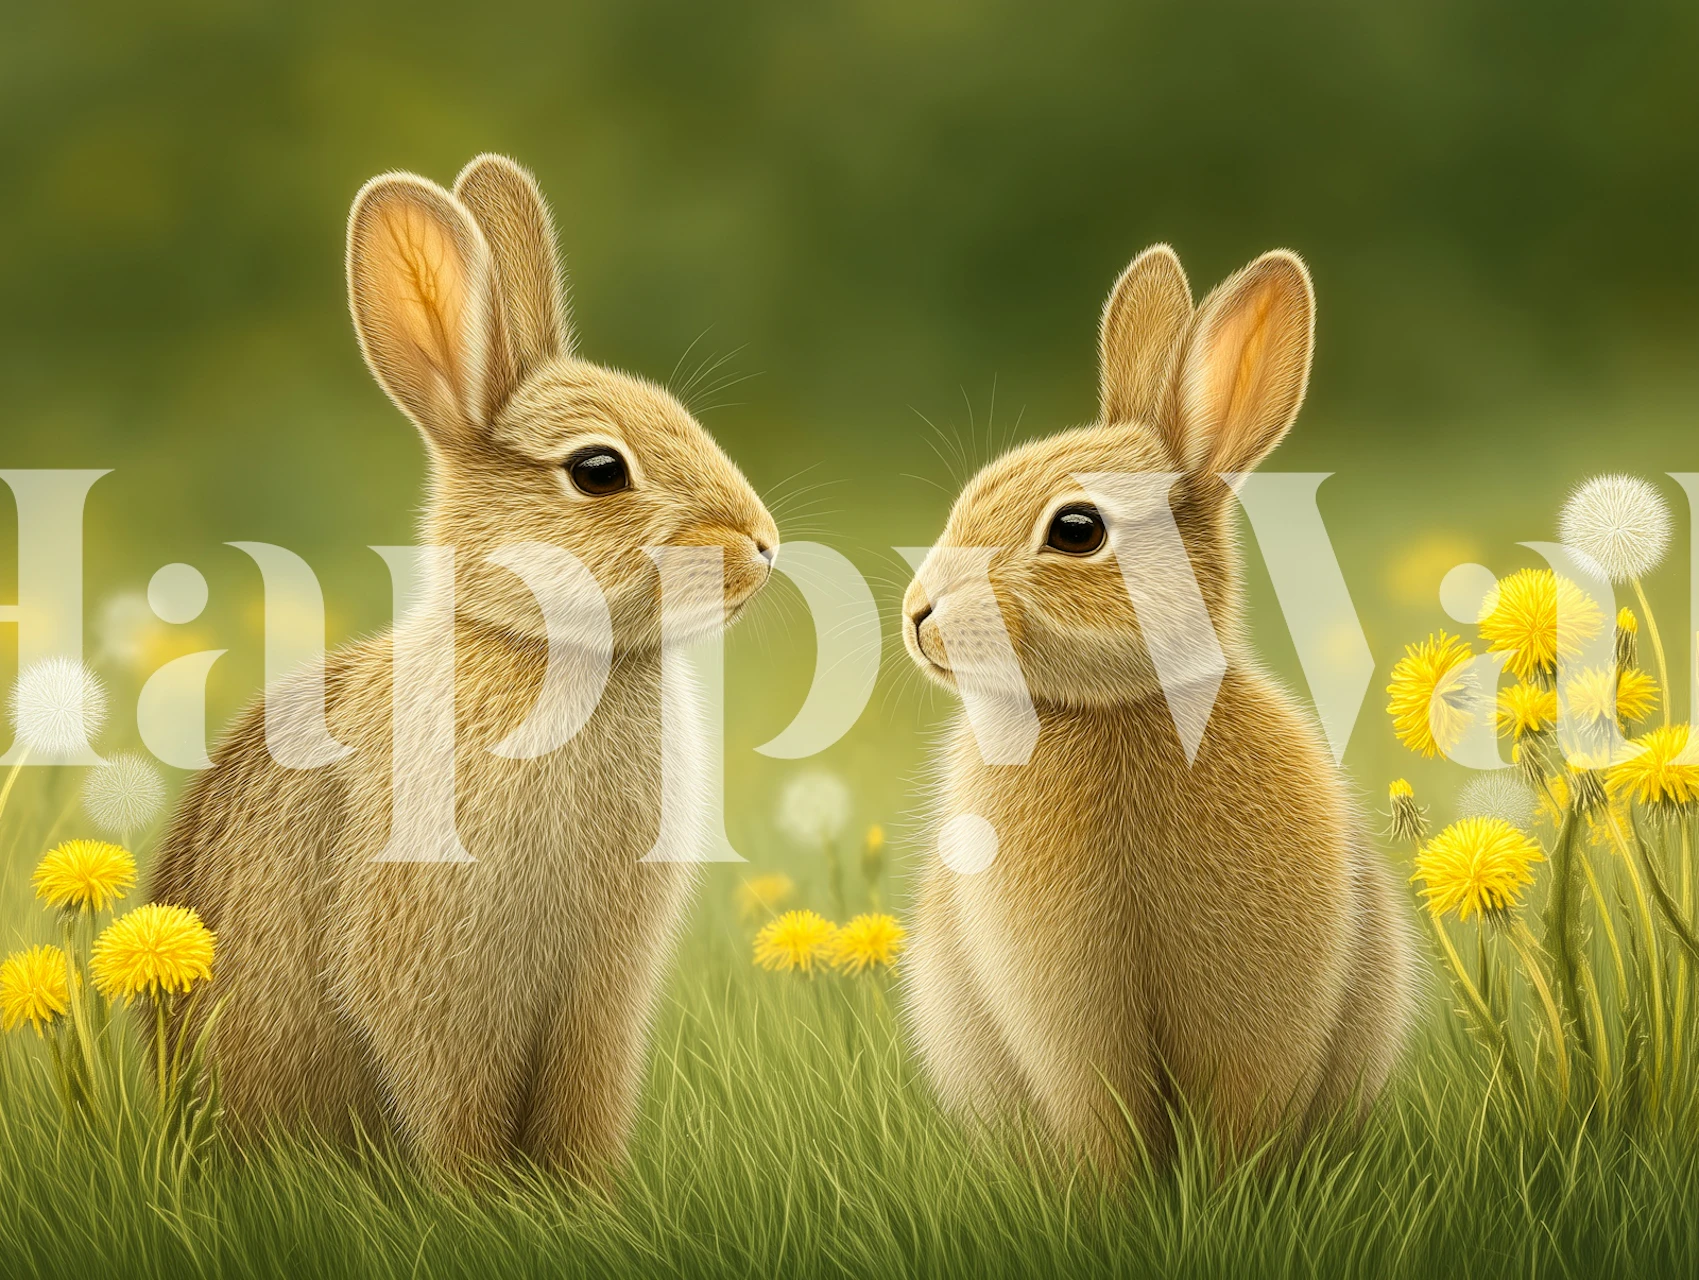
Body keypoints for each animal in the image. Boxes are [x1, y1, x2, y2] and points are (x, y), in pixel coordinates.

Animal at [147, 154, 778, 1180]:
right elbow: (452, 1102)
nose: (762, 546)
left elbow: (585, 1102)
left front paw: (585, 1196)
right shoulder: (431, 972)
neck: (542, 648)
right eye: (599, 470)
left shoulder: (600, 996)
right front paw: (471, 1198)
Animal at [898, 245, 1413, 1169]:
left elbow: (1246, 1103)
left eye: (1075, 530)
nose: (918, 614)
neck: (1117, 708)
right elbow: (1095, 1112)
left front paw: (1234, 1186)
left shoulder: (1265, 997)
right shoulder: (1060, 1009)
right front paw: (1110, 1193)